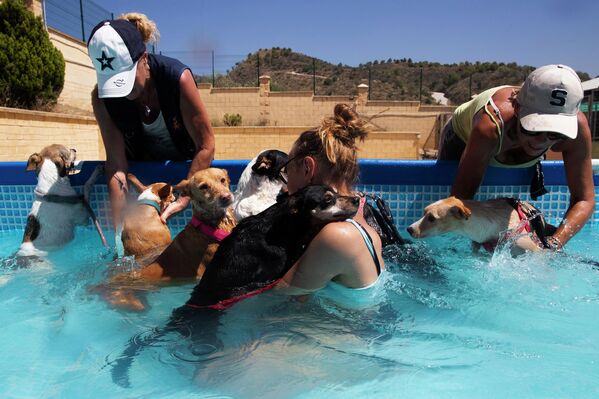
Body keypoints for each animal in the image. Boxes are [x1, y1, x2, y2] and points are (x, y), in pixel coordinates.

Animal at [110, 185, 358, 388]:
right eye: (328, 198)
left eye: (337, 193)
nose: (357, 199)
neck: (282, 227)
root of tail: (184, 313)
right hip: (206, 334)